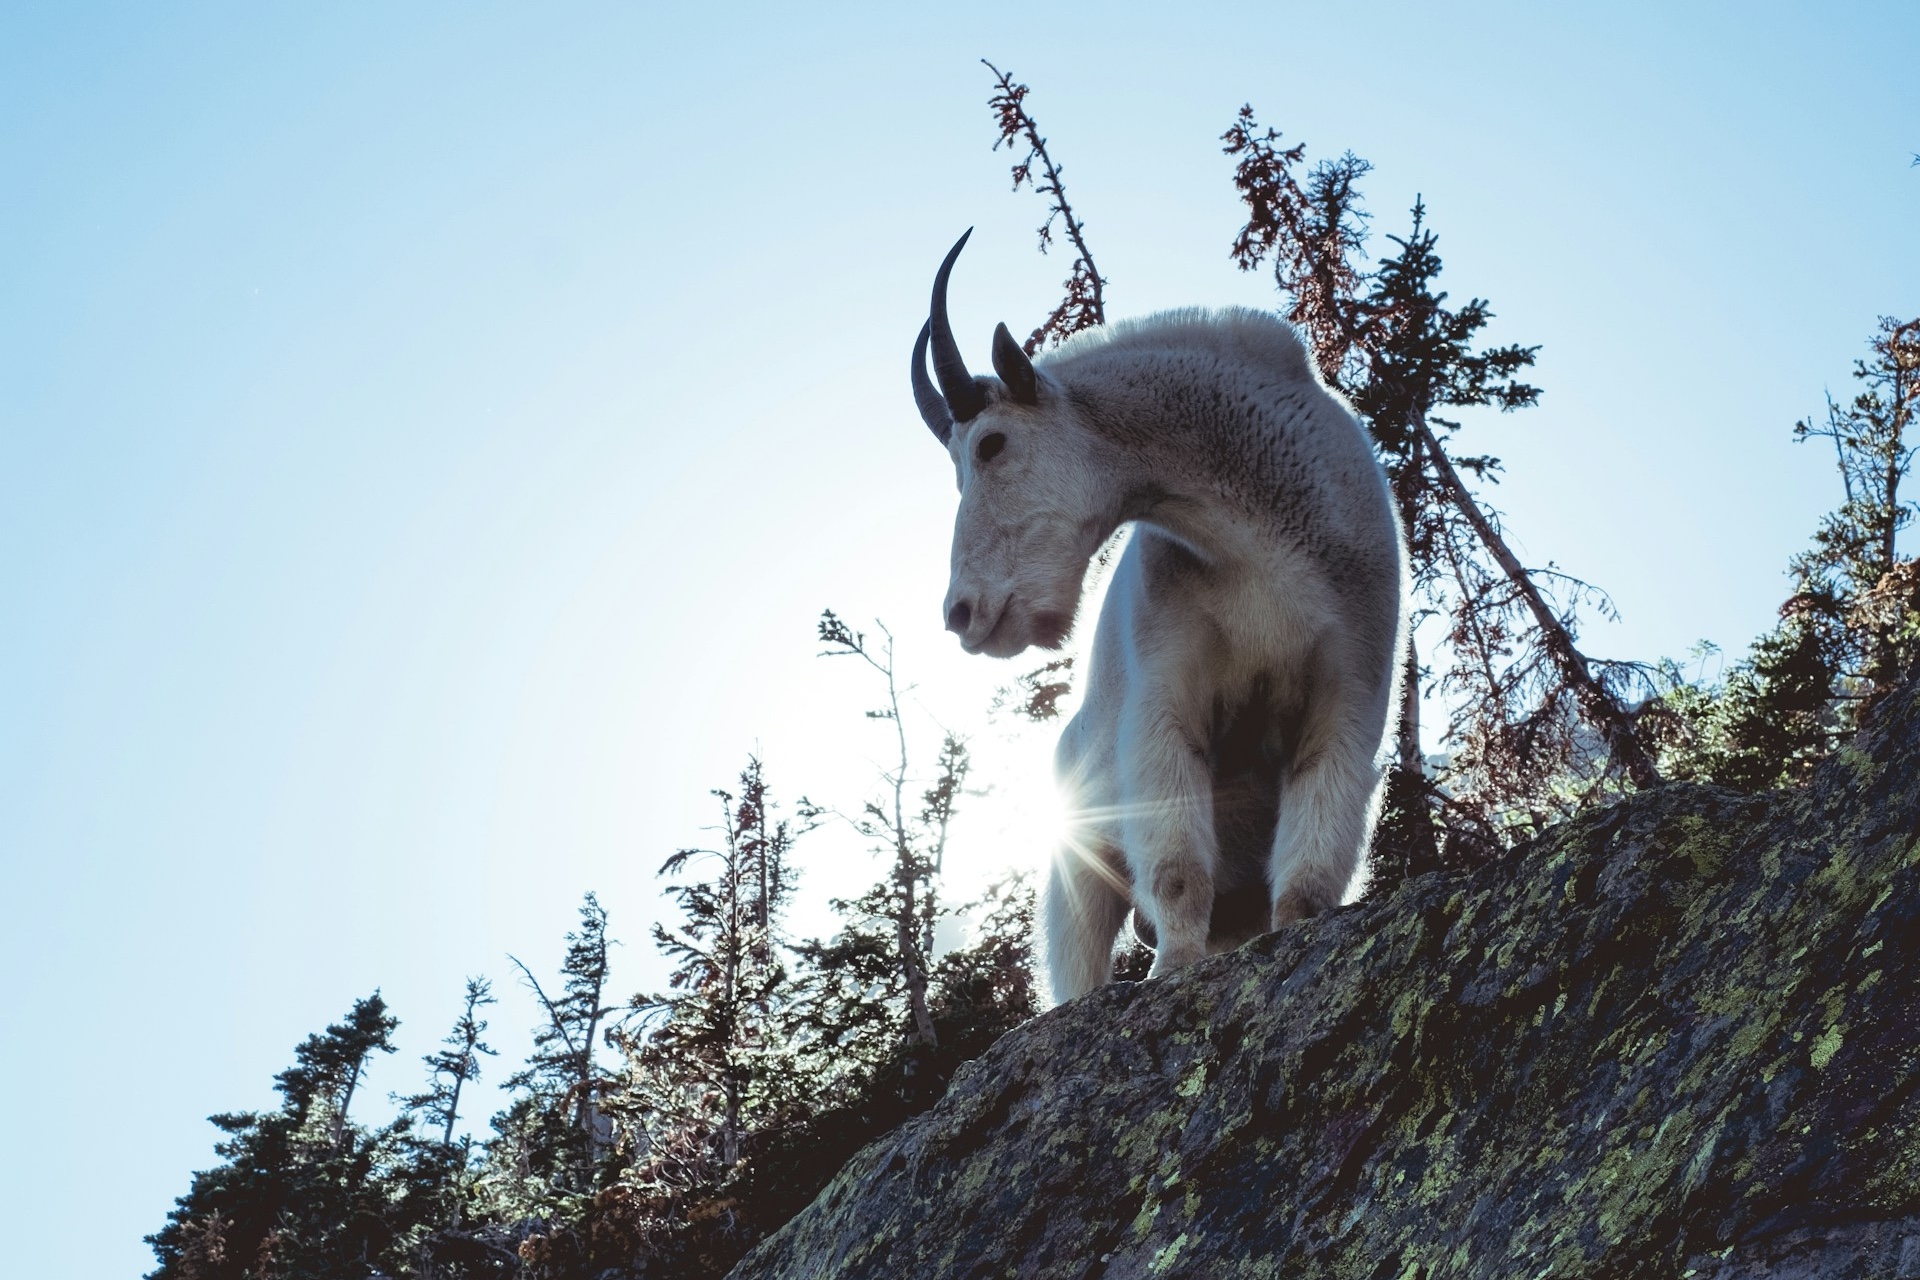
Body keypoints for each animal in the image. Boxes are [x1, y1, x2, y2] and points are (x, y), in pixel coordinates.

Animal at [906, 235, 1405, 1005]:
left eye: (991, 444)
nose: (964, 614)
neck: (1254, 539)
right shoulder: (1166, 699)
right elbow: (1176, 867)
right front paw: (1173, 972)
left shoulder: (1347, 688)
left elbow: (1309, 875)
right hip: (1076, 867)